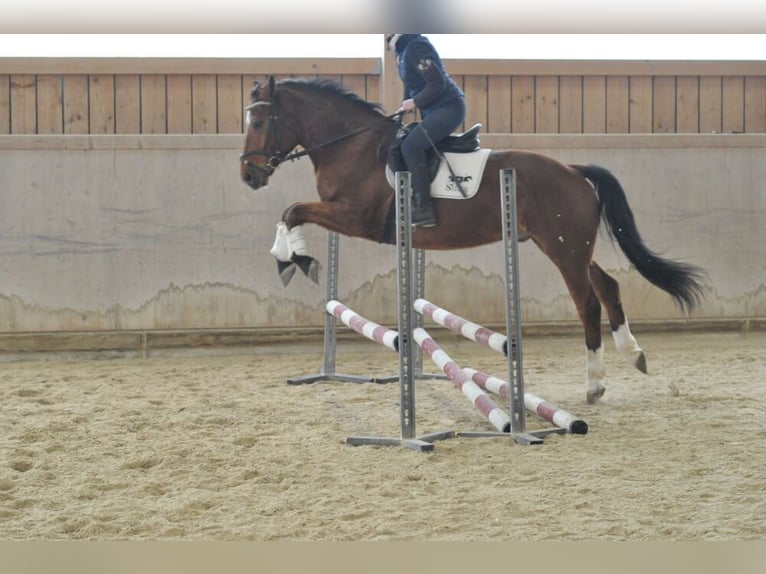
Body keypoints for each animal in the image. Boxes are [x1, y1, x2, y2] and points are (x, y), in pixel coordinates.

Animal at [239, 75, 707, 404]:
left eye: (259, 121)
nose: (248, 175)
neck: (352, 146)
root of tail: (573, 170)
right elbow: (290, 212)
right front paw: (292, 257)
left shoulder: (356, 218)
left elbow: (291, 211)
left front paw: (294, 261)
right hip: (568, 246)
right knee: (608, 286)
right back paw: (634, 354)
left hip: (564, 249)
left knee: (588, 303)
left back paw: (594, 385)